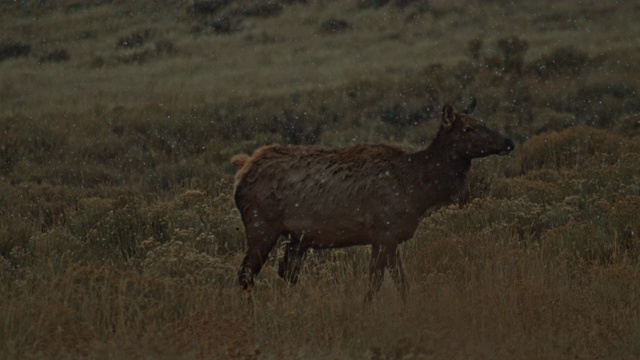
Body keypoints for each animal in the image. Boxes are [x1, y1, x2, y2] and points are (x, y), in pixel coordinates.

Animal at [230, 99, 516, 300]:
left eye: (483, 121)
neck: (418, 191)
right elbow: (389, 281)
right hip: (261, 225)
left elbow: (386, 281)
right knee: (245, 274)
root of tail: (243, 171)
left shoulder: (383, 238)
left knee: (285, 273)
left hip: (297, 238)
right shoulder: (385, 231)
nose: (508, 142)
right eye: (468, 128)